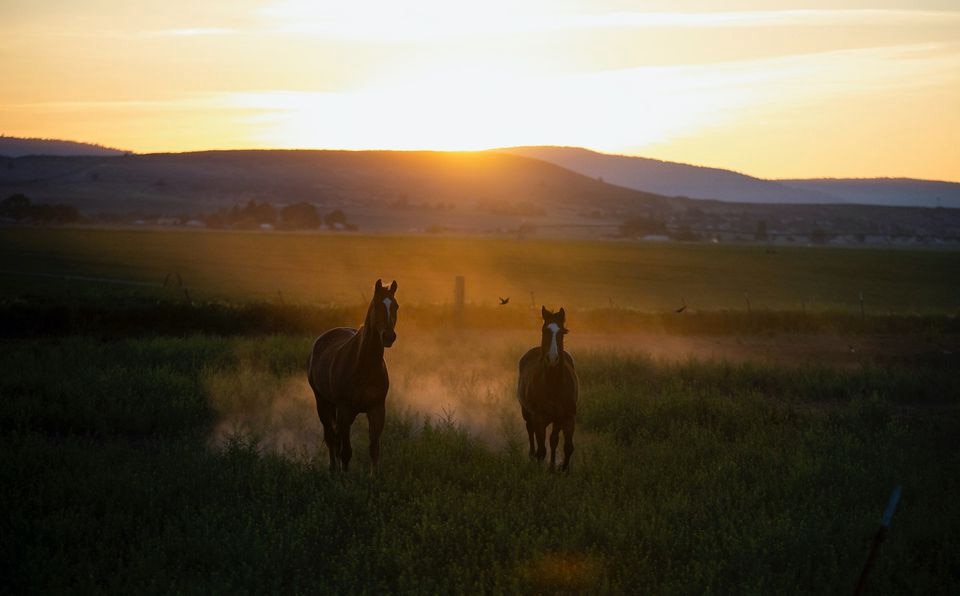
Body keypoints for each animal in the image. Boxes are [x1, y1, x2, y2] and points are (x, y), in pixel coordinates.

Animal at [308, 278, 398, 470]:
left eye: (395, 306)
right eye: (377, 305)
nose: (389, 336)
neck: (364, 366)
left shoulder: (377, 410)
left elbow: (374, 449)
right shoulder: (344, 410)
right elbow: (346, 452)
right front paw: (344, 476)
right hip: (323, 403)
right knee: (331, 438)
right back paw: (333, 470)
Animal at [516, 308, 576, 470]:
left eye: (563, 332)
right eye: (544, 330)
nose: (552, 359)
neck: (553, 384)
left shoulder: (567, 417)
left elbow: (567, 446)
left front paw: (561, 470)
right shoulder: (539, 417)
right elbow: (542, 449)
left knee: (553, 440)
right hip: (527, 412)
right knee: (530, 430)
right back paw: (532, 455)